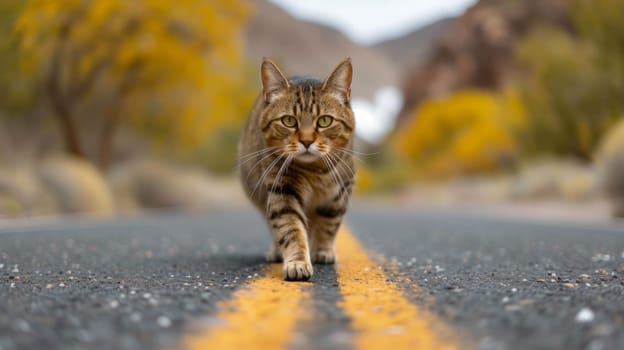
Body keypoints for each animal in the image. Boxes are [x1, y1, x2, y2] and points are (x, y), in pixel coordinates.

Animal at [239, 57, 354, 282]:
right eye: (289, 121)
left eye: (324, 120)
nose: (307, 141)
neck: (315, 173)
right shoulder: (282, 191)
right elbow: (291, 229)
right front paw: (298, 262)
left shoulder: (340, 191)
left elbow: (329, 224)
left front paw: (323, 251)